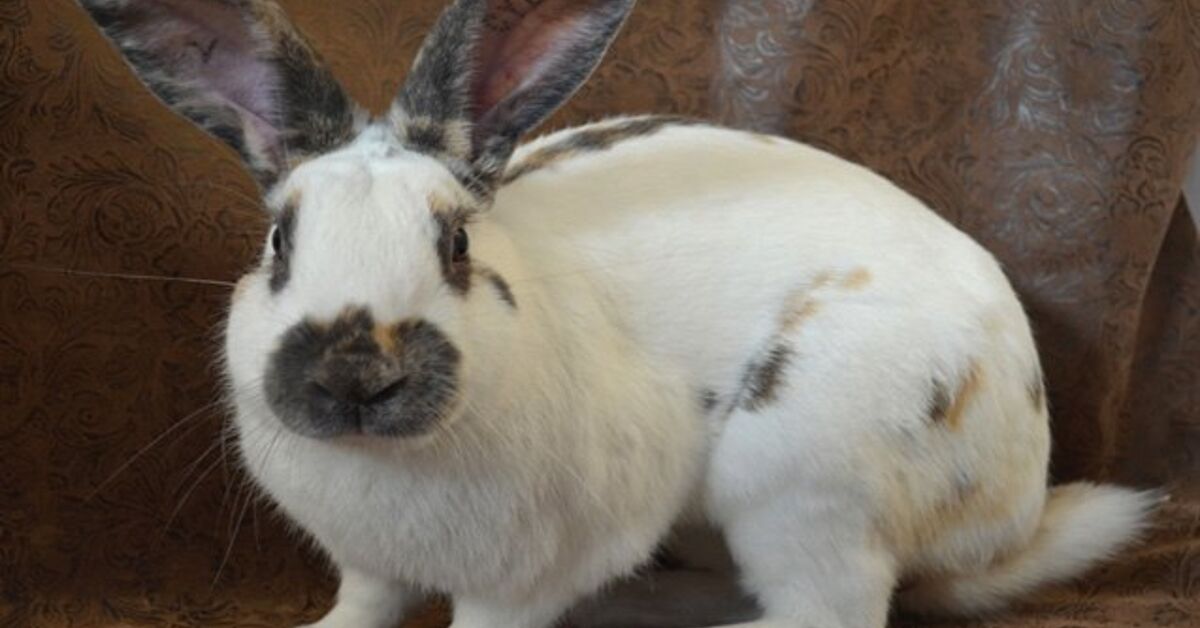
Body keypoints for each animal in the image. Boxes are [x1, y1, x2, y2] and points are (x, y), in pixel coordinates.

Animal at [79, 1, 1160, 627]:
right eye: (278, 243)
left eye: (456, 244)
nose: (356, 373)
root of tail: (1017, 497)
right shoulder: (371, 568)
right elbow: (365, 607)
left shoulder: (519, 579)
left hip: (805, 480)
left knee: (830, 608)